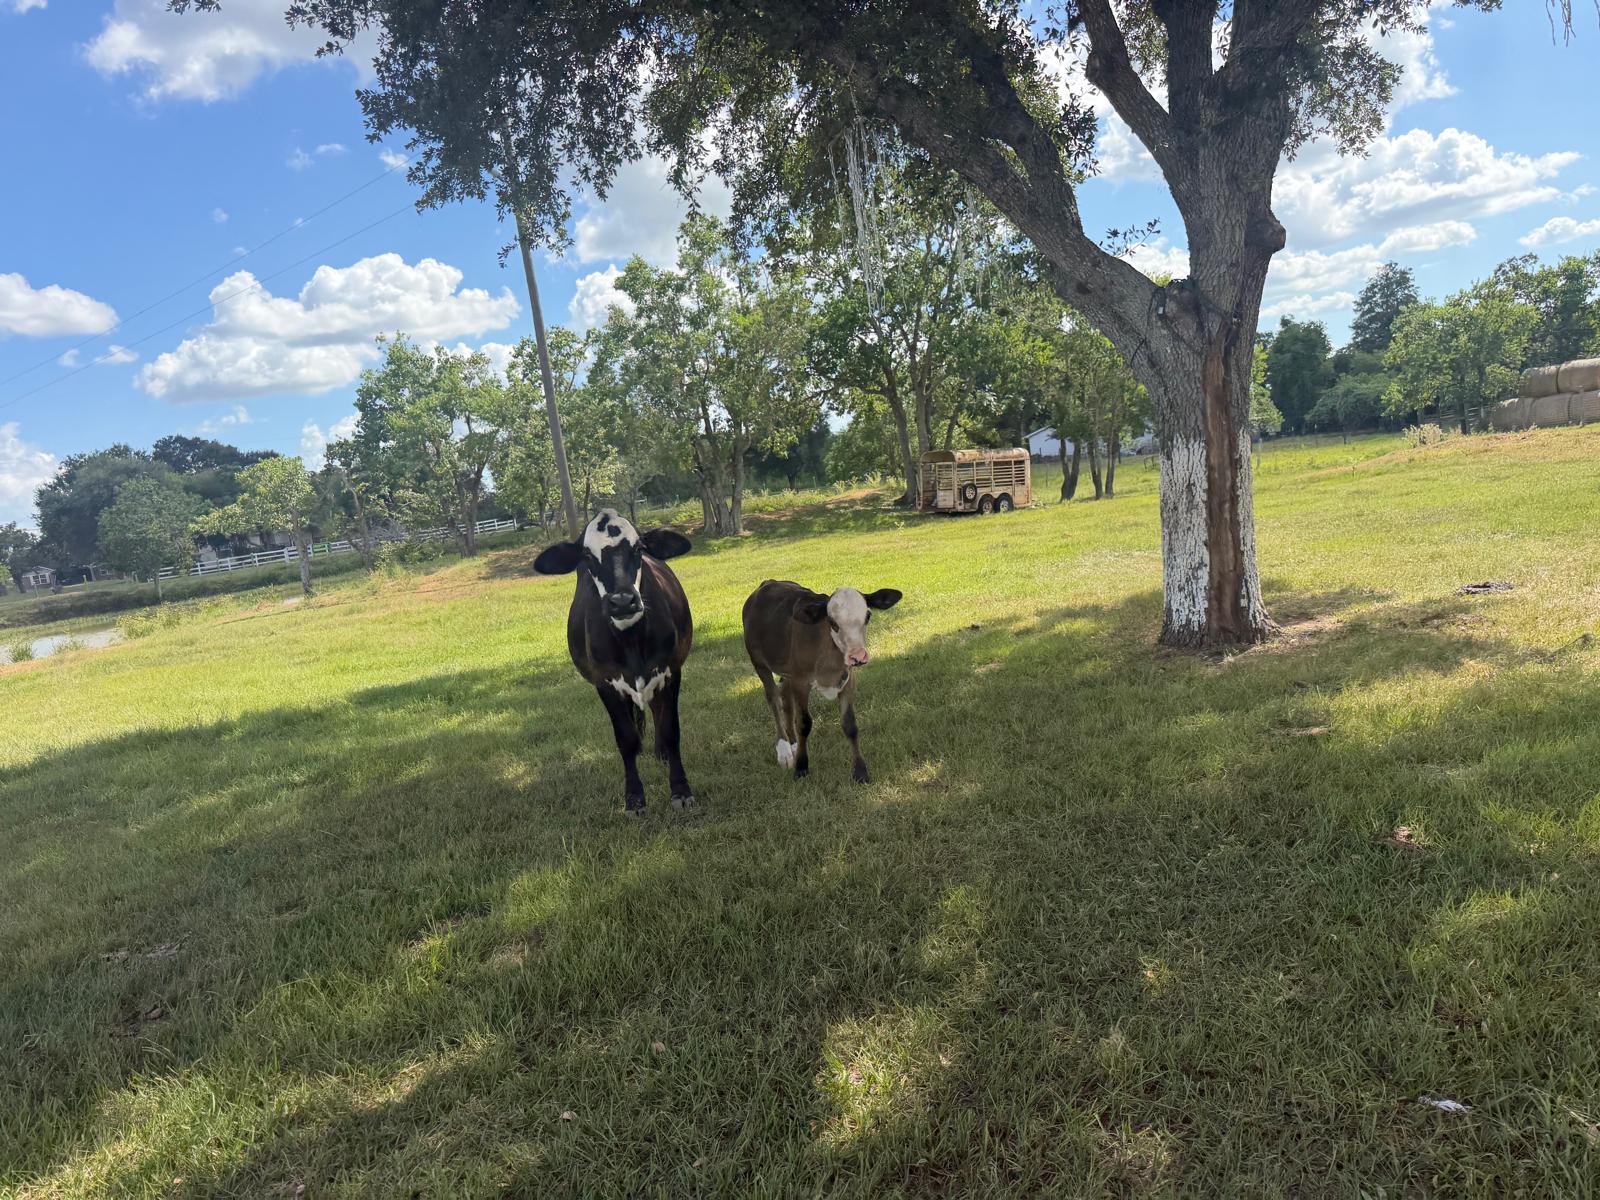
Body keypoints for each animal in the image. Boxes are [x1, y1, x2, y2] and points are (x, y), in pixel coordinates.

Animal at [533, 509, 695, 815]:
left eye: (639, 548)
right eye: (587, 557)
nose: (622, 601)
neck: (631, 640)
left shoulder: (671, 671)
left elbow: (671, 730)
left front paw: (680, 790)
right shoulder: (605, 683)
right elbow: (626, 739)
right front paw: (634, 798)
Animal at [741, 580, 903, 783]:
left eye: (867, 616)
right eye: (832, 622)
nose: (858, 656)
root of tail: (768, 583)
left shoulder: (847, 680)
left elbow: (850, 724)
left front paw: (860, 771)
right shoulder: (801, 681)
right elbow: (804, 723)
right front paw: (801, 767)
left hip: (787, 671)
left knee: (785, 699)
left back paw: (793, 745)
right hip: (759, 662)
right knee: (774, 700)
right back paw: (784, 749)